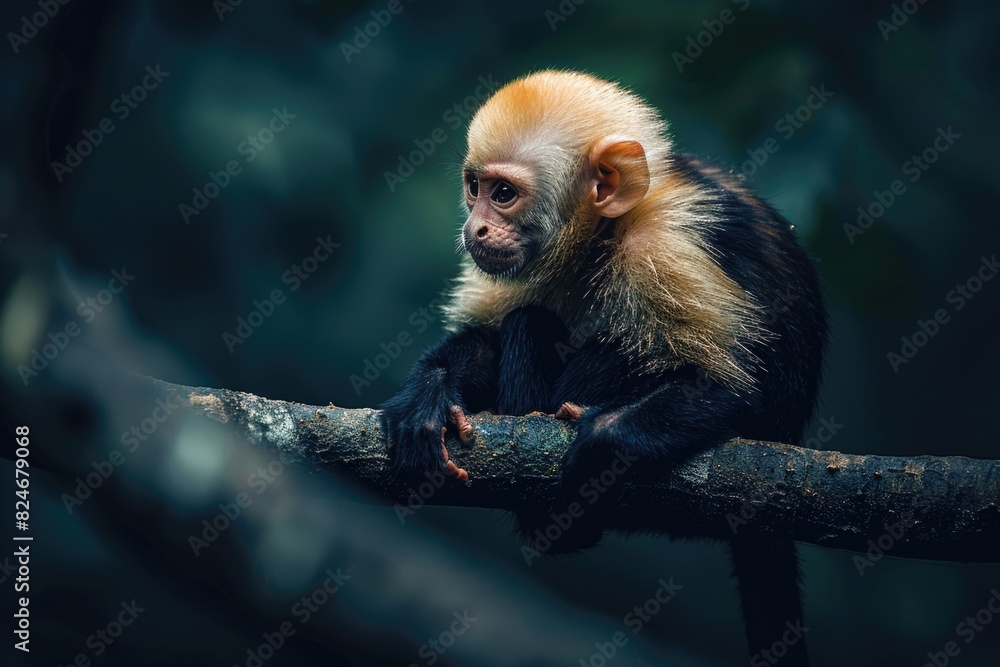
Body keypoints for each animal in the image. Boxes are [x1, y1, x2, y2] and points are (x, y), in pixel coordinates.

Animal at [381, 70, 827, 666]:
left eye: (504, 195)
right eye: (474, 187)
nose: (474, 228)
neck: (602, 237)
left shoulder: (664, 248)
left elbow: (735, 392)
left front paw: (602, 441)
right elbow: (488, 340)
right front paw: (427, 396)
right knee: (526, 320)